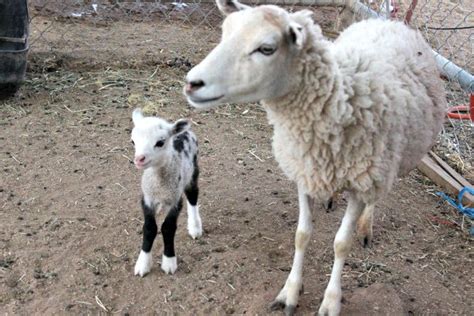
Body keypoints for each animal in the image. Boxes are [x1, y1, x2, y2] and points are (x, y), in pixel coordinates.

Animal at [131, 108, 203, 276]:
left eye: (160, 142)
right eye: (133, 141)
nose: (139, 159)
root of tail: (184, 132)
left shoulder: (174, 200)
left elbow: (168, 228)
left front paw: (169, 261)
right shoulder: (147, 198)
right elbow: (149, 228)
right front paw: (143, 263)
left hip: (193, 171)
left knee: (192, 196)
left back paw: (195, 227)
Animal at [182, 1, 444, 314]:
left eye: (266, 48)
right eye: (224, 33)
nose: (192, 83)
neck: (341, 100)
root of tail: (391, 22)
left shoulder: (361, 180)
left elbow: (341, 244)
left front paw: (331, 300)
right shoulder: (305, 171)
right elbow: (302, 235)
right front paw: (291, 291)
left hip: (387, 162)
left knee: (376, 196)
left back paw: (365, 225)